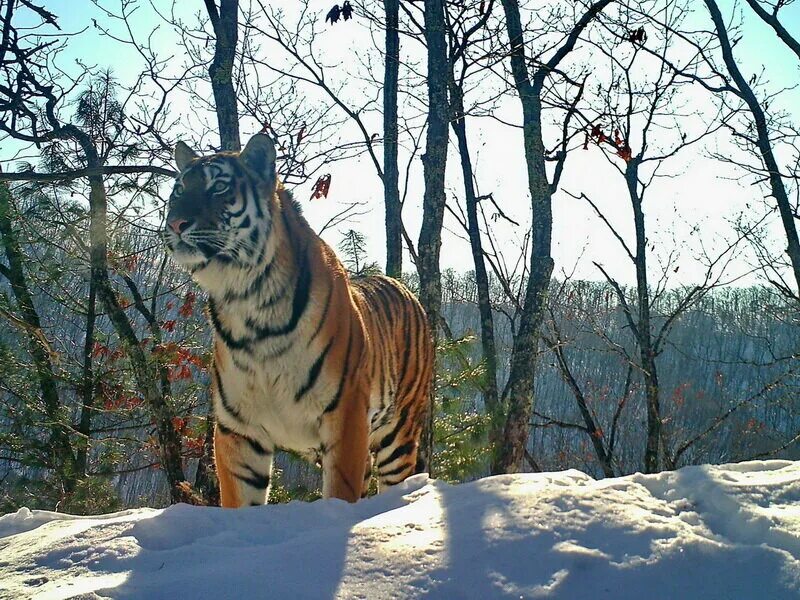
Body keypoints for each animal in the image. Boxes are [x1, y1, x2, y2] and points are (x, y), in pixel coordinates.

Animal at [161, 132, 432, 506]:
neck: (247, 300)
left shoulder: (345, 415)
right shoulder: (239, 429)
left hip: (398, 435)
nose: (175, 223)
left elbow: (339, 496)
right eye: (178, 189)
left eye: (218, 186)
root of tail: (404, 289)